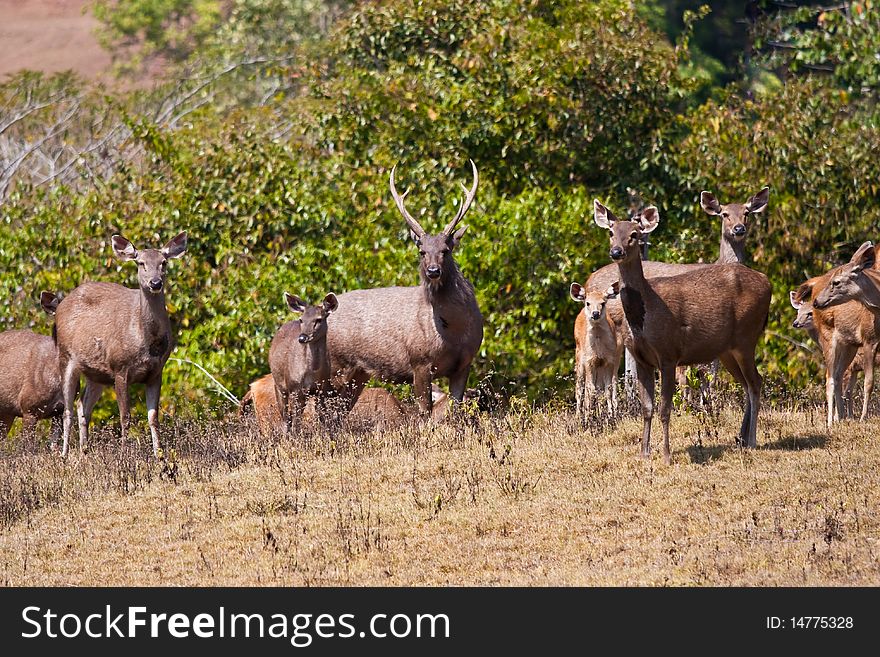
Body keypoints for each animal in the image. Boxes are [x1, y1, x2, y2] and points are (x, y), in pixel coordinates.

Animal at [53, 232, 187, 456]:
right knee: (67, 410)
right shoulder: (120, 368)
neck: (147, 341)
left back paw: (84, 451)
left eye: (164, 262)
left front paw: (159, 455)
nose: (155, 282)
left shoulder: (156, 372)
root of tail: (60, 305)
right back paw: (64, 454)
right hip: (66, 357)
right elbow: (125, 417)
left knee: (83, 406)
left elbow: (153, 417)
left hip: (96, 373)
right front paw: (125, 454)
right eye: (140, 263)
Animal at [268, 292, 336, 430]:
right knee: (286, 417)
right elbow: (296, 421)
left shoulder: (322, 389)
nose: (302, 338)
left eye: (319, 319)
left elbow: (322, 417)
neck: (312, 372)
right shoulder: (294, 387)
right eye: (301, 320)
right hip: (279, 385)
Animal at [326, 159, 484, 416]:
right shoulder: (419, 363)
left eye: (446, 250)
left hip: (358, 374)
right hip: (337, 367)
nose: (433, 271)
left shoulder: (465, 362)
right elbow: (424, 412)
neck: (453, 332)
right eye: (422, 251)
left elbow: (455, 409)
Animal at [568, 280, 624, 422]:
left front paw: (610, 416)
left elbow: (608, 389)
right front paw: (588, 418)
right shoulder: (589, 361)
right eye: (588, 302)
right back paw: (579, 416)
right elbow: (590, 389)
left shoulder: (609, 361)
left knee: (605, 386)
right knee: (580, 388)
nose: (595, 313)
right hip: (579, 357)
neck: (599, 350)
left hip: (612, 362)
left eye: (603, 303)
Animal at [592, 200, 768, 462]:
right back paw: (742, 438)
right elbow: (647, 408)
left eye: (634, 234)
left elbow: (665, 408)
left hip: (748, 336)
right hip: (728, 349)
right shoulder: (641, 358)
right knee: (747, 384)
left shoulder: (669, 353)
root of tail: (768, 282)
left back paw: (752, 440)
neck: (643, 316)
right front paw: (644, 453)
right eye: (611, 232)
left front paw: (666, 454)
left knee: (755, 382)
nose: (616, 252)